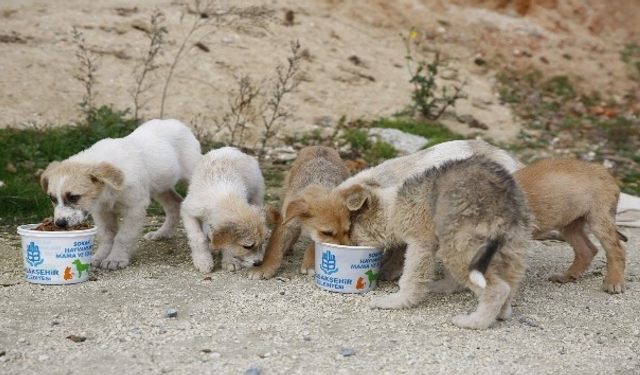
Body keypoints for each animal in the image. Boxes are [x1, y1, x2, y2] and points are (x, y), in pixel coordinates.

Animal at [40, 120, 200, 270]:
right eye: (52, 198)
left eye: (74, 197)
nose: (60, 224)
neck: (108, 191)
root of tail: (174, 122)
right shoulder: (101, 211)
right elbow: (107, 235)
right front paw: (100, 255)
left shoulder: (134, 209)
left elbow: (123, 237)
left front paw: (115, 259)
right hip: (160, 186)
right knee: (175, 203)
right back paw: (163, 233)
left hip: (189, 177)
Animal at [249, 146, 350, 280]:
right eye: (327, 233)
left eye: (347, 231)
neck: (318, 182)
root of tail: (321, 146)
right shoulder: (284, 223)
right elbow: (274, 248)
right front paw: (265, 268)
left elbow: (313, 244)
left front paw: (310, 263)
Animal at [342, 157, 532, 330]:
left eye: (352, 232)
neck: (392, 207)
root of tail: (503, 202)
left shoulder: (421, 244)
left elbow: (411, 278)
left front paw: (397, 301)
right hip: (511, 248)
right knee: (509, 285)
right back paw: (502, 313)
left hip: (460, 249)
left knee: (498, 290)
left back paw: (474, 322)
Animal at [516, 157, 628, 296]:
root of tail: (603, 171)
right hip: (570, 225)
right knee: (587, 250)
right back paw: (567, 276)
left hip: (599, 220)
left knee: (616, 250)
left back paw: (614, 281)